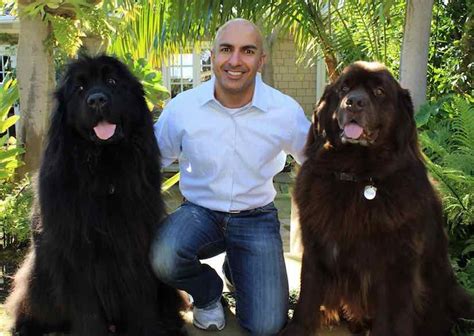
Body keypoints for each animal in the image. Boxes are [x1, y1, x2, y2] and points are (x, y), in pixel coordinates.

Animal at [6, 55, 187, 336]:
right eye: (79, 88)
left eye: (112, 81)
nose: (97, 100)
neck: (103, 167)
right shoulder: (76, 251)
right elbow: (86, 305)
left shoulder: (134, 242)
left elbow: (141, 298)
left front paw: (146, 329)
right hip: (38, 279)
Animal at [280, 61, 472, 334]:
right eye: (344, 88)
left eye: (379, 92)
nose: (354, 102)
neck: (356, 176)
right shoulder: (316, 248)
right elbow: (307, 299)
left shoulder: (396, 265)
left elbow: (391, 317)